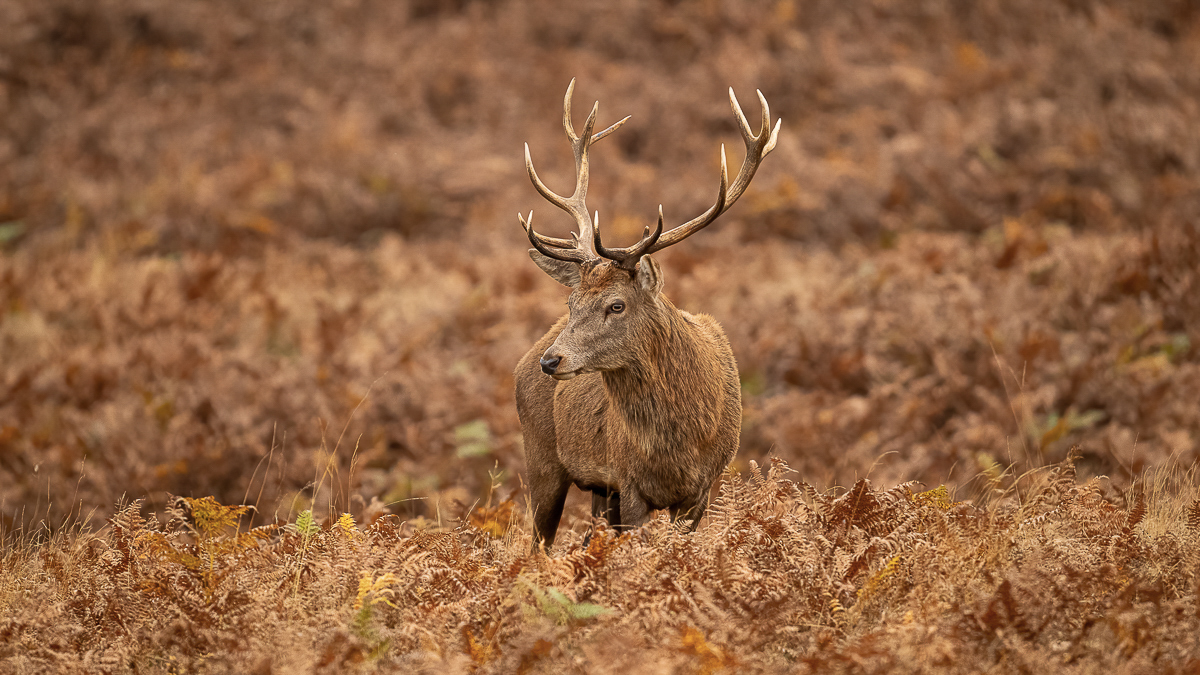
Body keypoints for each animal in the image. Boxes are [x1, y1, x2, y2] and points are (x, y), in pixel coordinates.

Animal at [513, 81, 777, 550]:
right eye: (571, 303)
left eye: (616, 305)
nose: (552, 360)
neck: (678, 446)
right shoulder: (629, 481)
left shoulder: (702, 489)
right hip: (542, 458)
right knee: (539, 542)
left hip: (598, 489)